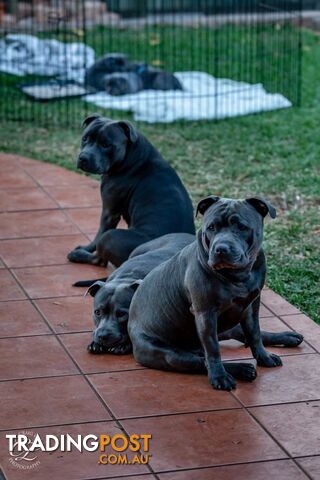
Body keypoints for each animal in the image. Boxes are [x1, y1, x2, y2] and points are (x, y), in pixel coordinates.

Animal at [67, 115, 195, 268]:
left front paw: (86, 248)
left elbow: (97, 236)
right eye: (85, 138)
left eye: (106, 144)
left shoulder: (109, 213)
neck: (131, 156)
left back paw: (77, 255)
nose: (83, 158)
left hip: (110, 236)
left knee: (100, 259)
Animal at [129, 195, 304, 390]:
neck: (238, 275)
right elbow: (213, 351)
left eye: (241, 227)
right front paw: (220, 377)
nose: (221, 248)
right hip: (169, 355)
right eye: (211, 227)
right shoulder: (206, 314)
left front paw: (264, 357)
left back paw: (288, 337)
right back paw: (242, 369)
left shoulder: (252, 307)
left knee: (243, 336)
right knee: (199, 361)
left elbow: (255, 334)